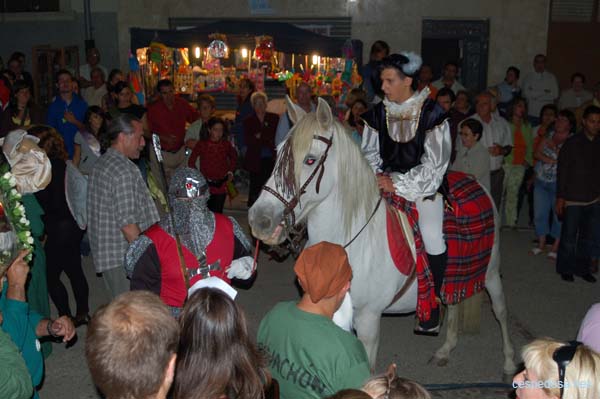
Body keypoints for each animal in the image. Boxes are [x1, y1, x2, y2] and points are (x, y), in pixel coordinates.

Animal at [248, 97, 516, 376]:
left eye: (310, 160)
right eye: (279, 154)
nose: (260, 219)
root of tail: (476, 182)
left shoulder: (368, 321)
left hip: (491, 272)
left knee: (501, 311)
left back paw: (509, 361)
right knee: (453, 302)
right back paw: (445, 349)